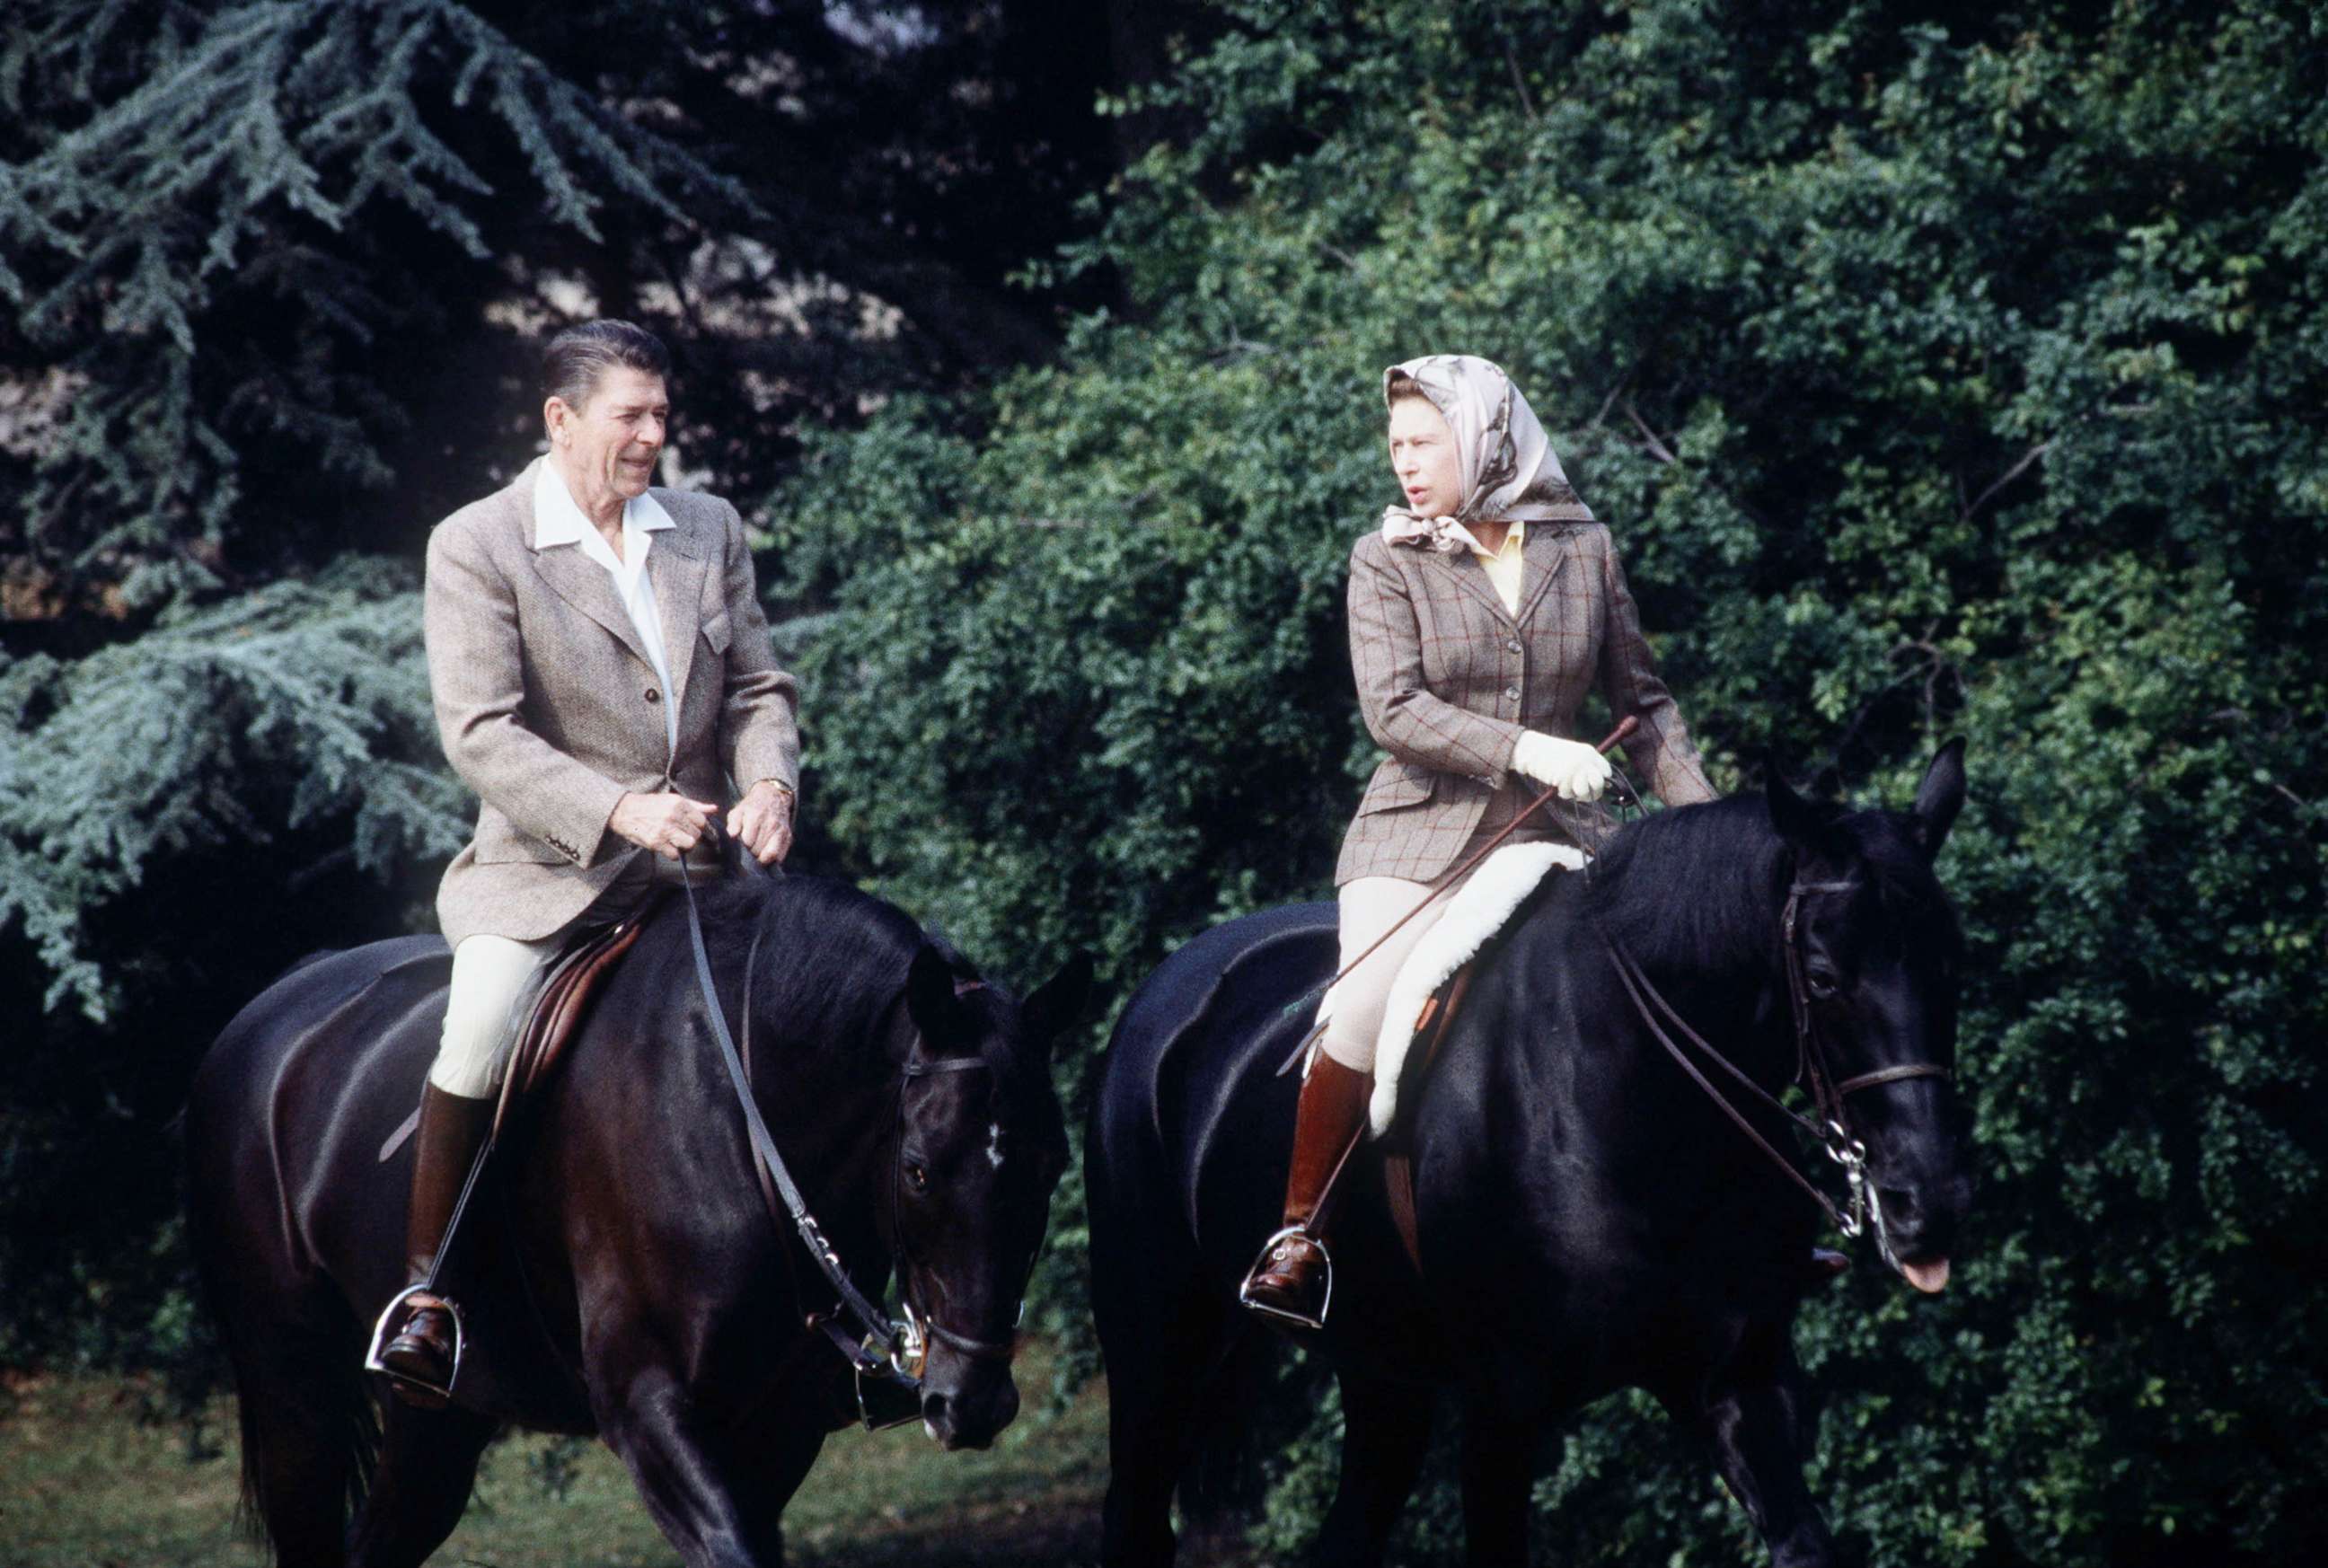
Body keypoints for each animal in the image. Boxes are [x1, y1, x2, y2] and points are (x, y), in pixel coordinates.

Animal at [186, 875, 1084, 1563]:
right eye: (919, 1170)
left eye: (1052, 1165)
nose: (974, 1402)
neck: (740, 1114)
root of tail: (271, 1011)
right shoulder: (645, 1404)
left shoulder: (780, 1423)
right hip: (296, 1391)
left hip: (437, 1422)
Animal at [1098, 744, 1974, 1563]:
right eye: (1822, 978)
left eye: (1952, 961)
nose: (1928, 1204)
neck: (1635, 1104)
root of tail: (1178, 981)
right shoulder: (1504, 1409)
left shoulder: (1740, 1377)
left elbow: (1802, 1540)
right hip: (1156, 1352)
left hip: (1385, 1376)